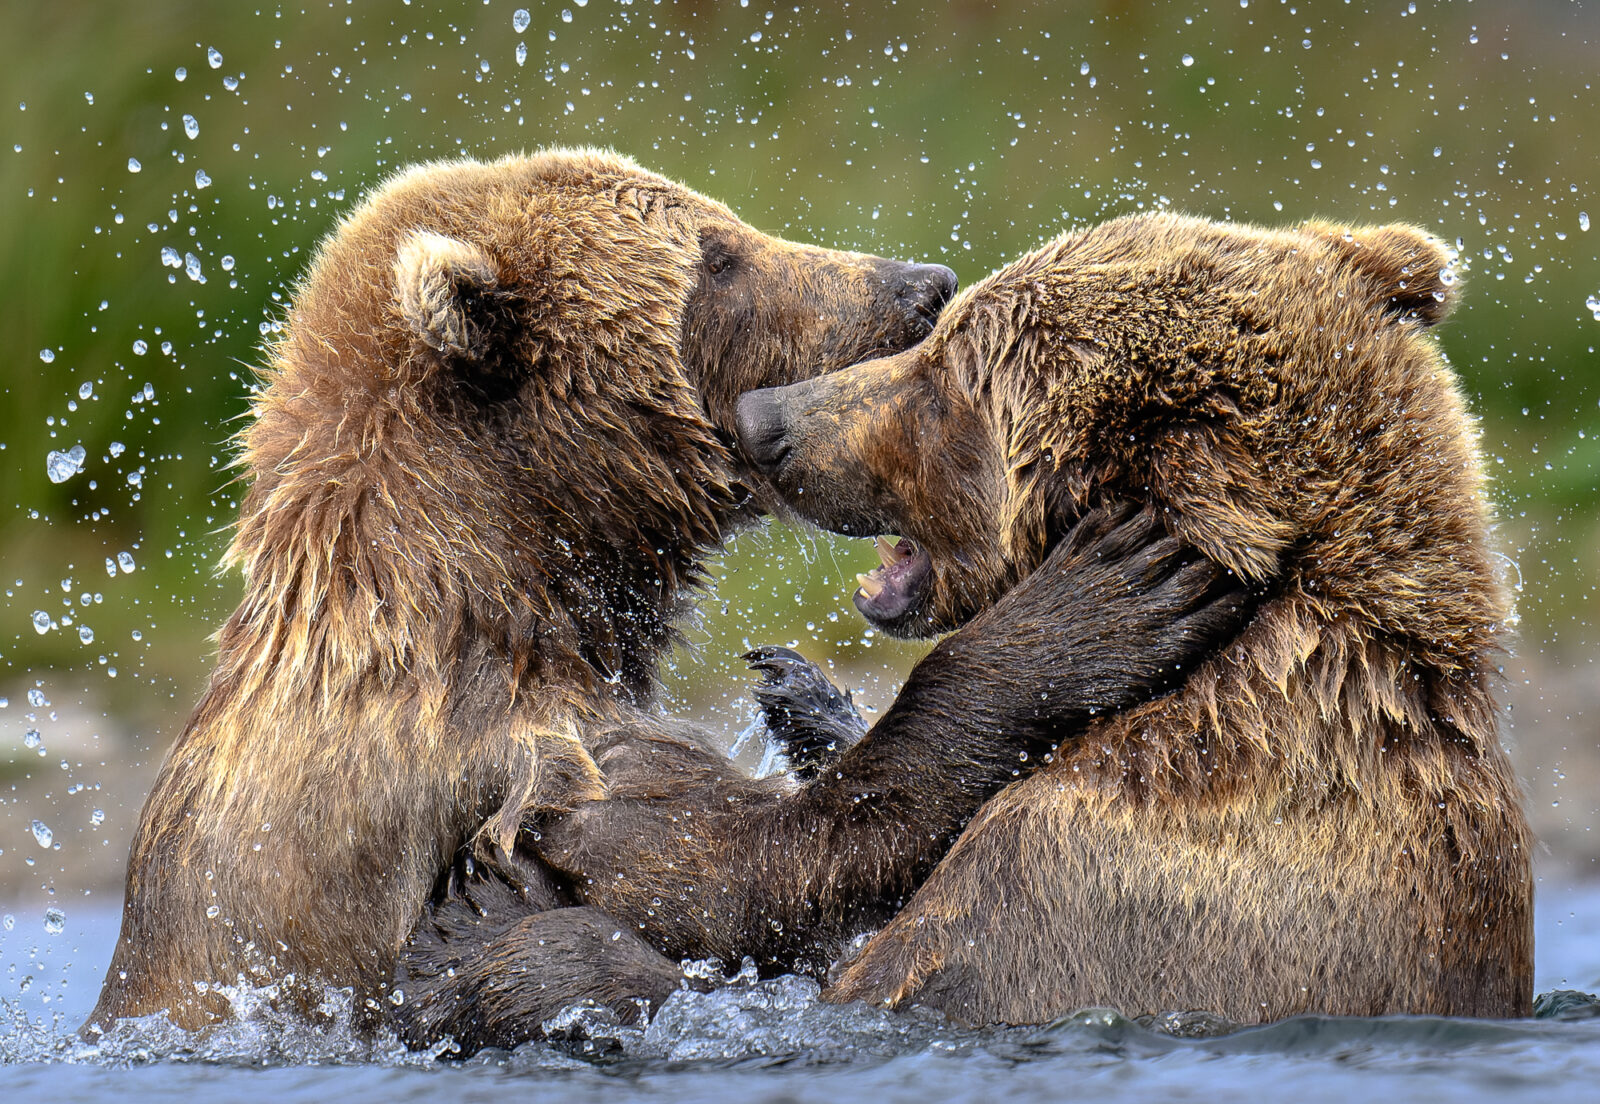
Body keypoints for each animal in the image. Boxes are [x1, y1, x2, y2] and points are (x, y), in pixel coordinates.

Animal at [84, 150, 1242, 1044]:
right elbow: (758, 870)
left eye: (725, 229)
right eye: (717, 257)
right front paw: (1098, 601)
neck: (507, 590)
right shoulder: (518, 761)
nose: (919, 281)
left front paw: (800, 689)